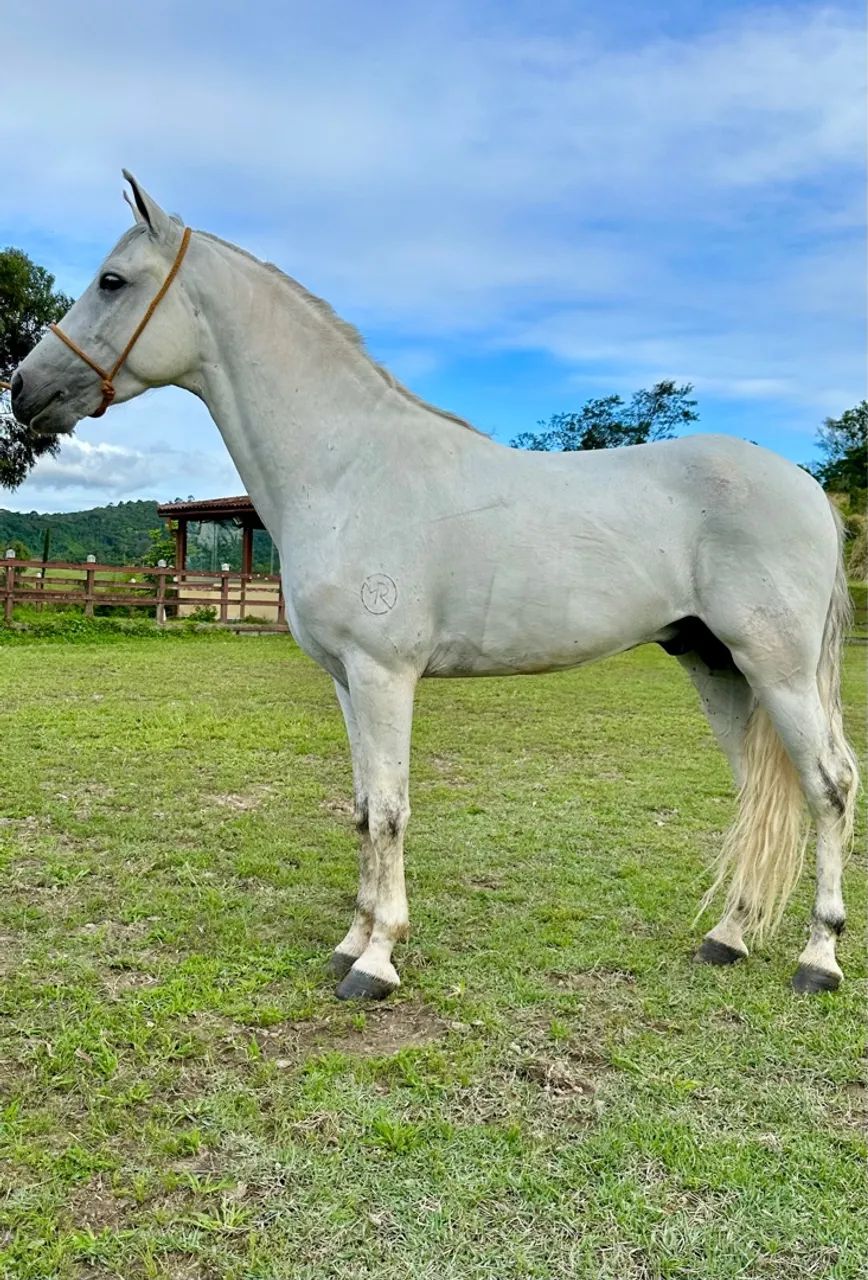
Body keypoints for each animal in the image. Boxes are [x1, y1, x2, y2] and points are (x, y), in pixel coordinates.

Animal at [11, 172, 858, 1000]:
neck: (348, 467)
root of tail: (809, 490)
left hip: (776, 669)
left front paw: (377, 960)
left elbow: (389, 812)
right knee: (762, 792)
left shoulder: (385, 674)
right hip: (715, 664)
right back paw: (728, 937)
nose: (24, 388)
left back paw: (818, 958)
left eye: (113, 281)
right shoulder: (347, 680)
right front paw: (350, 943)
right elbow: (361, 811)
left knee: (829, 786)